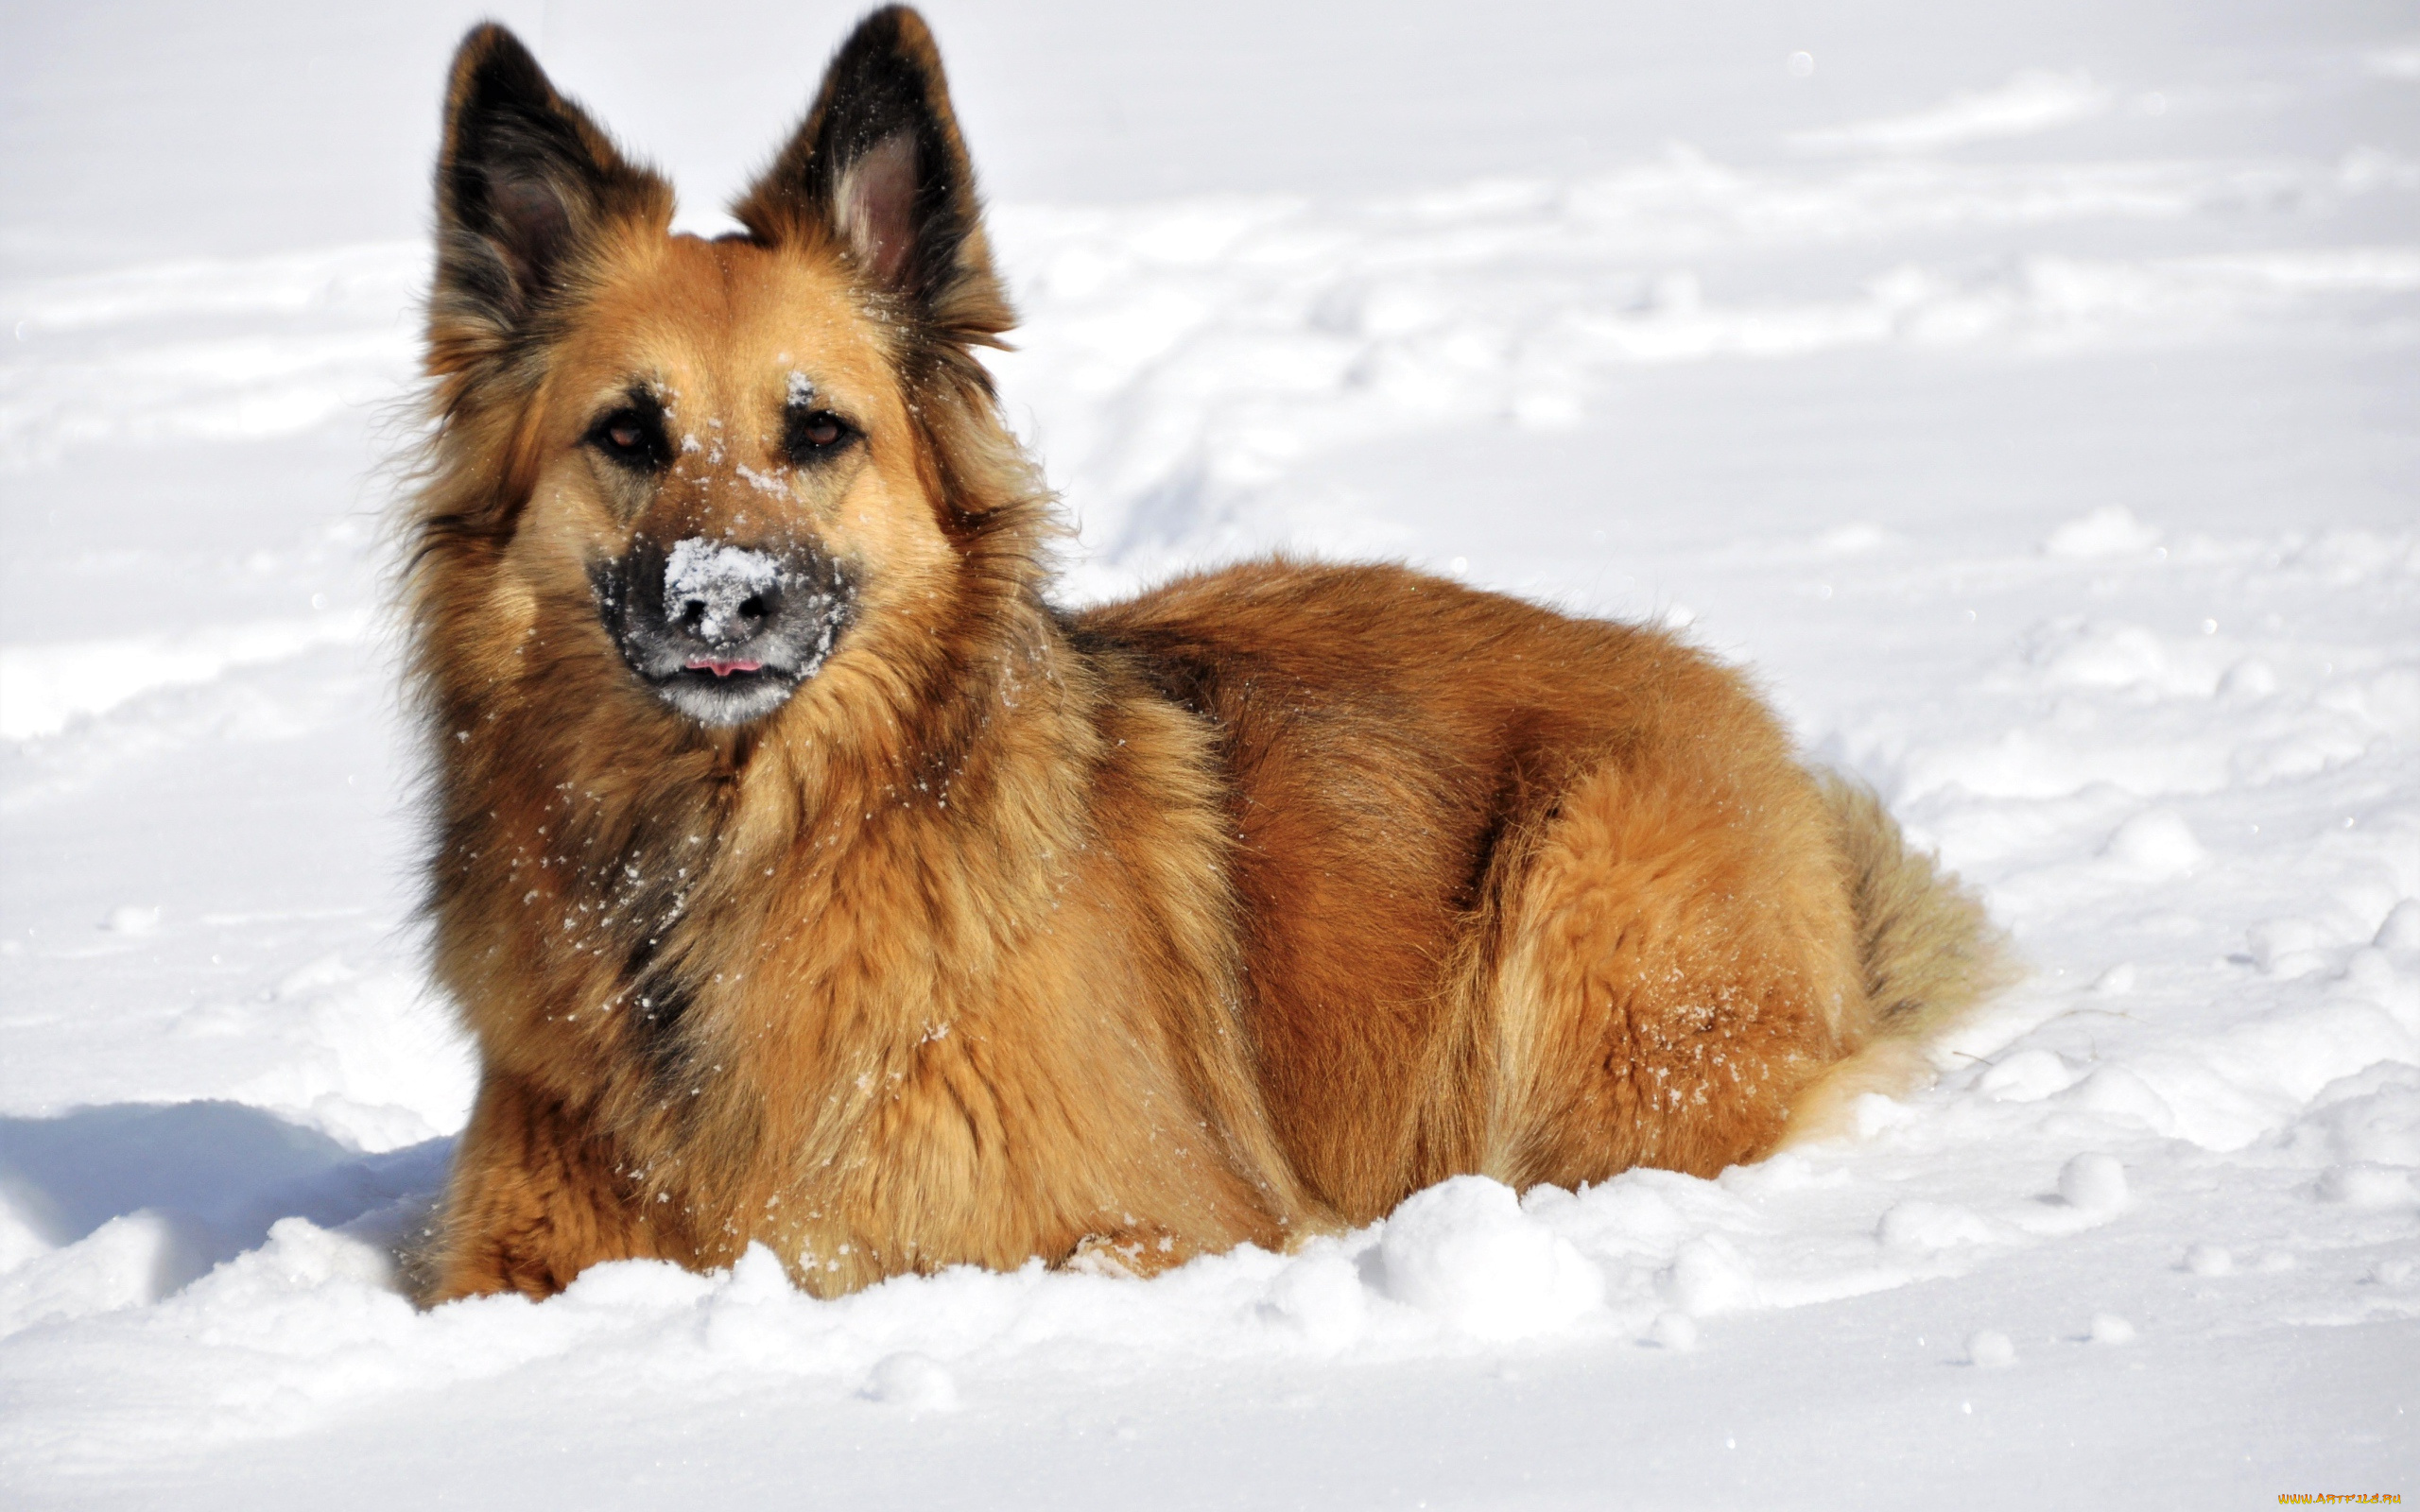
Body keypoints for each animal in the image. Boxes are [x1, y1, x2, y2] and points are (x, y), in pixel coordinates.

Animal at [406, 6, 2013, 1306]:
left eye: (817, 433)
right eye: (629, 434)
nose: (721, 603)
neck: (717, 858)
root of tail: (1756, 729)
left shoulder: (1144, 1225)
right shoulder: (507, 1258)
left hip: (1581, 944)